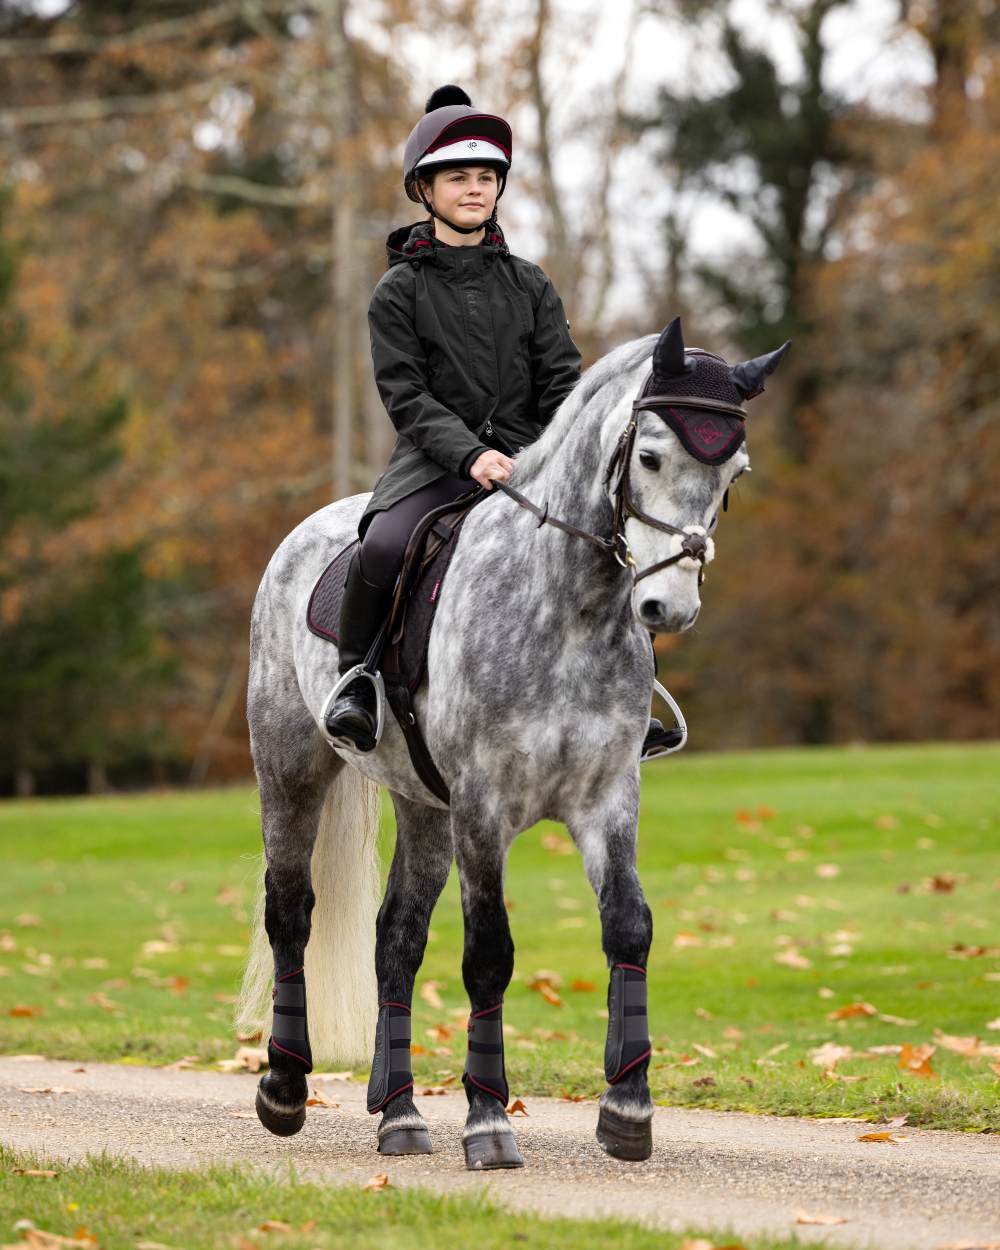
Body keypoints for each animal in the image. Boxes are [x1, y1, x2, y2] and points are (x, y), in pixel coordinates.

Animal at [236, 315, 790, 1170]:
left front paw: (627, 1110)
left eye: (734, 472)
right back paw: (285, 1090)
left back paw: (399, 1114)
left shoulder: (606, 800)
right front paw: (489, 1122)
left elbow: (629, 925)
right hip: (293, 769)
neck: (567, 609)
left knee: (396, 938)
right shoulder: (483, 808)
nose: (669, 606)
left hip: (424, 808)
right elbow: (490, 953)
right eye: (651, 455)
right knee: (291, 912)